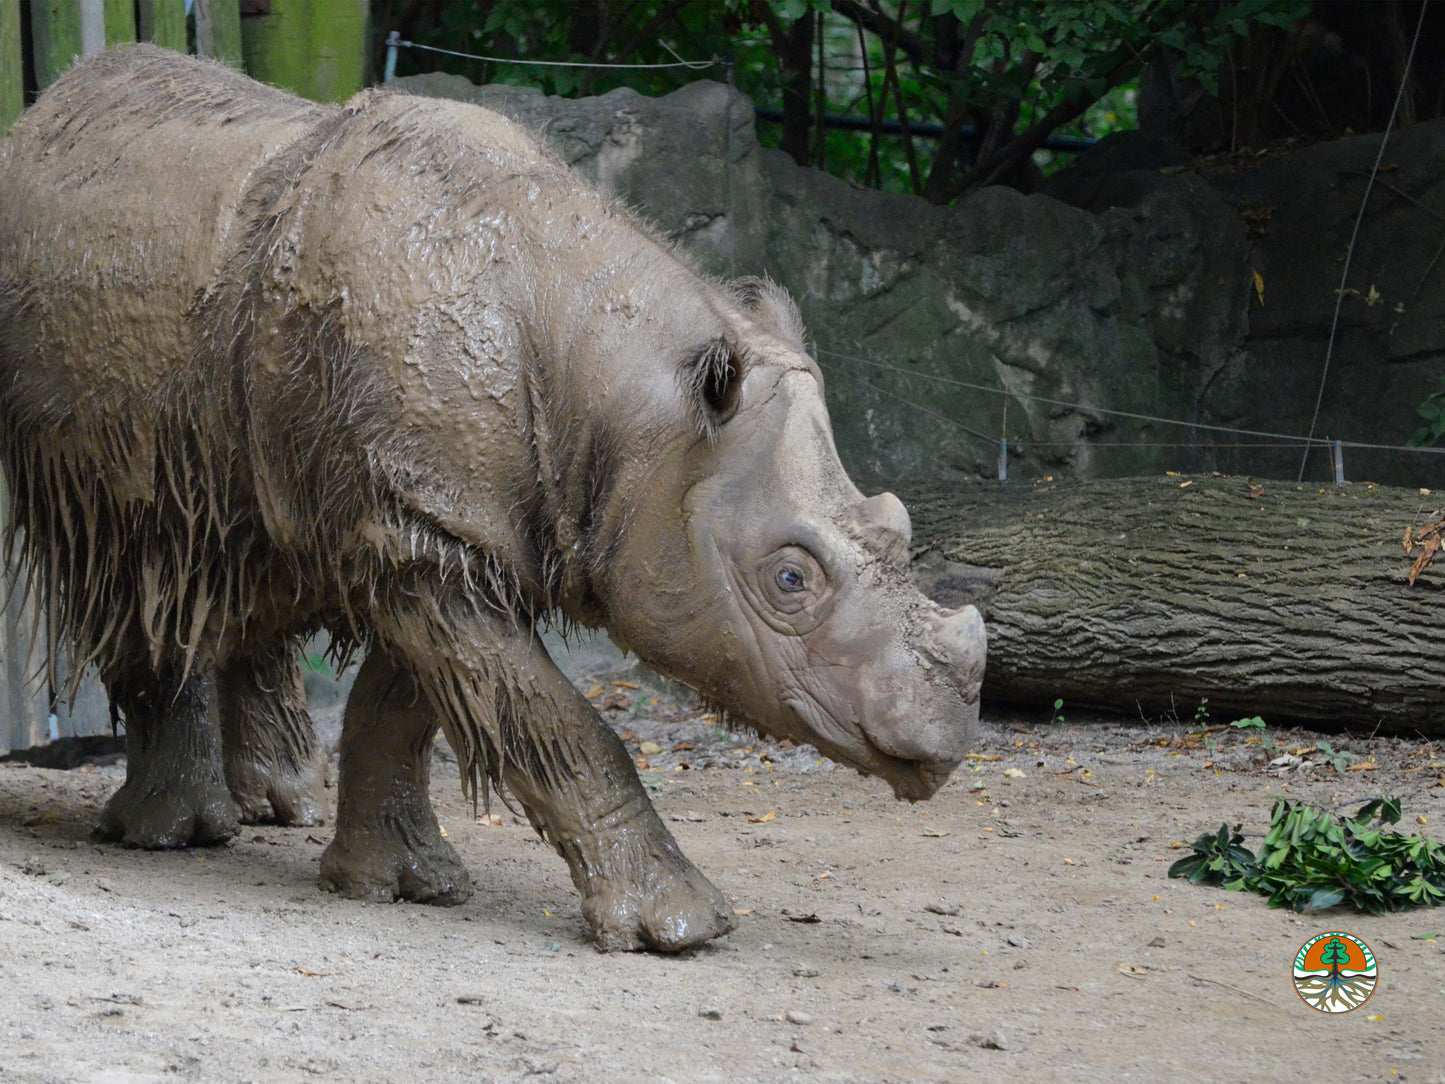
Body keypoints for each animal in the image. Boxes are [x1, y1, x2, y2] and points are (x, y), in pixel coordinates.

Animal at [0, 48, 982, 948]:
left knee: (231, 537)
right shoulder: (422, 530)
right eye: (788, 580)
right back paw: (171, 838)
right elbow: (560, 722)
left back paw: (276, 806)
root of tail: (40, 115)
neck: (625, 403)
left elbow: (409, 707)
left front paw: (396, 885)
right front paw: (682, 928)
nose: (947, 733)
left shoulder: (442, 522)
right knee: (126, 545)